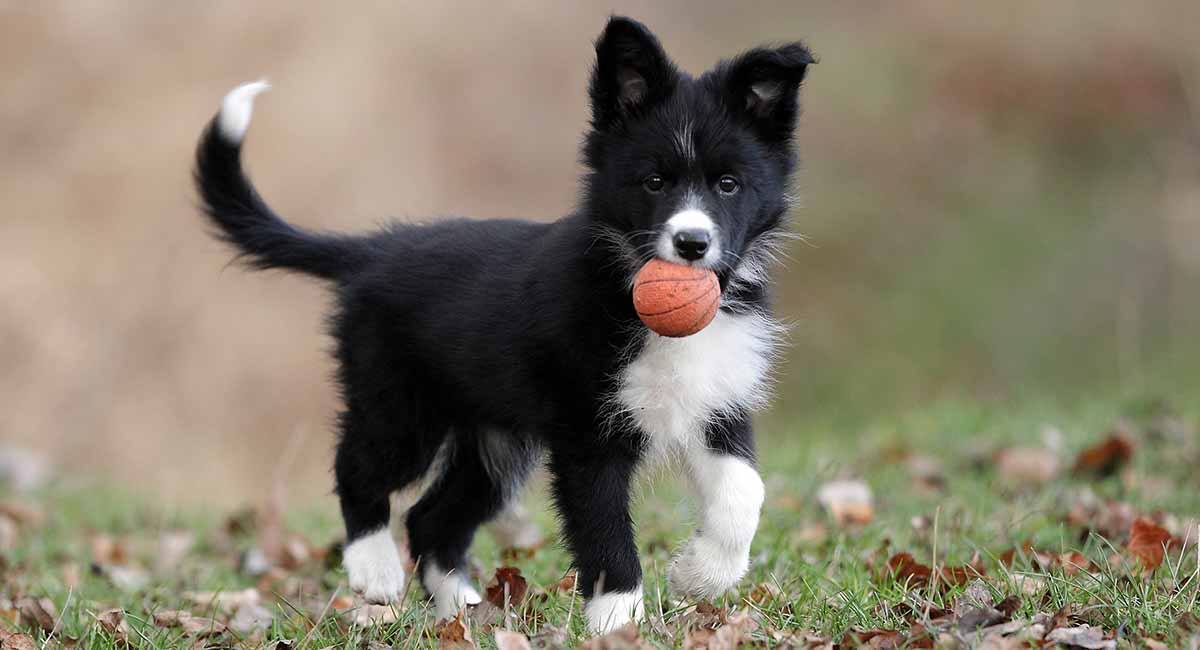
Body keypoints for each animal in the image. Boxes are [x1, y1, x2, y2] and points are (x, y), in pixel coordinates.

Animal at [194, 16, 816, 638]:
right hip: (401, 404)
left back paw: (465, 611)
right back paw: (376, 571)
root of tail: (374, 251)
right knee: (360, 468)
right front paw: (619, 622)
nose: (692, 244)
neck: (626, 286)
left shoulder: (717, 402)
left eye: (728, 184)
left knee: (432, 517)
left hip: (493, 438)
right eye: (654, 182)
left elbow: (746, 490)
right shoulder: (587, 434)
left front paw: (701, 575)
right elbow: (604, 528)